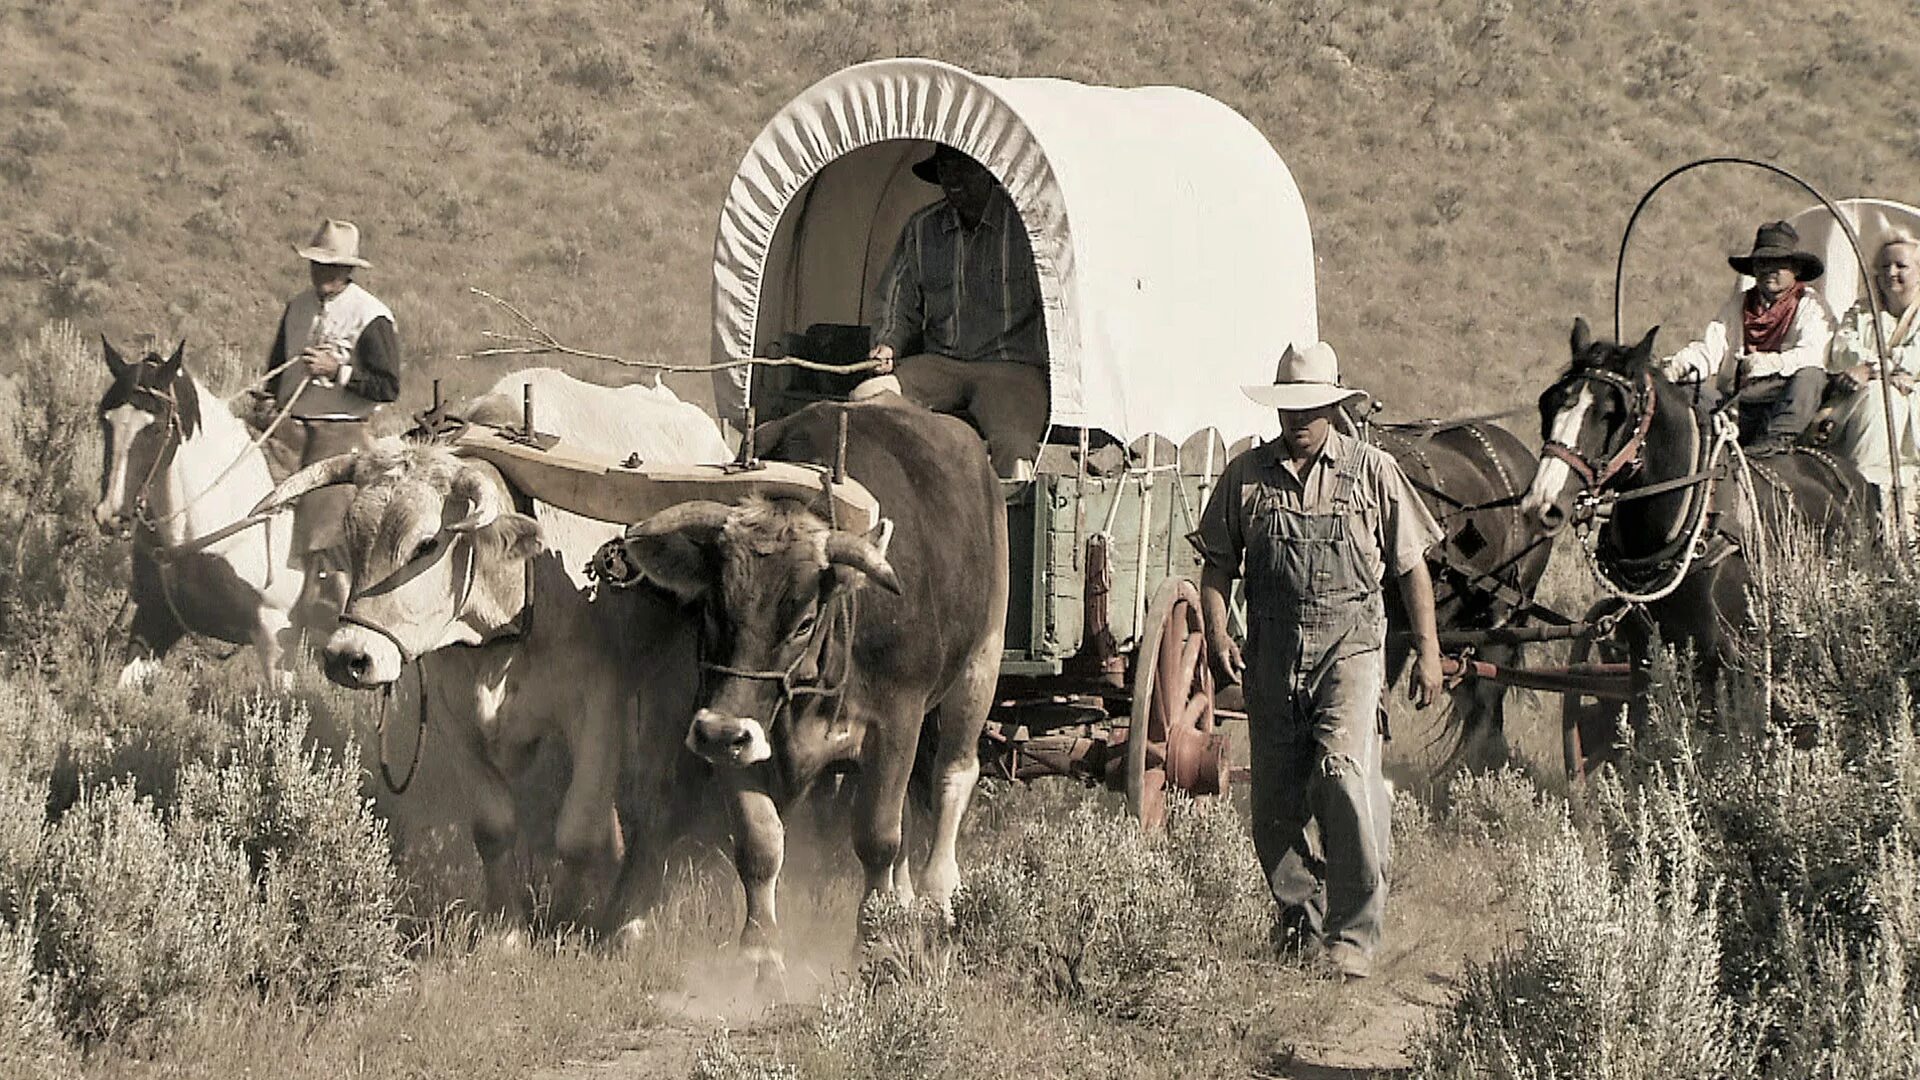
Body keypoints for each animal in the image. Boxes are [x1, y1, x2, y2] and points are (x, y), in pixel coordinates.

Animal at [1512, 313, 1858, 764]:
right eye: (1550, 404)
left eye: (1610, 413)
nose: (1542, 503)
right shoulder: (1644, 657)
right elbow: (1647, 732)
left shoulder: (1729, 658)